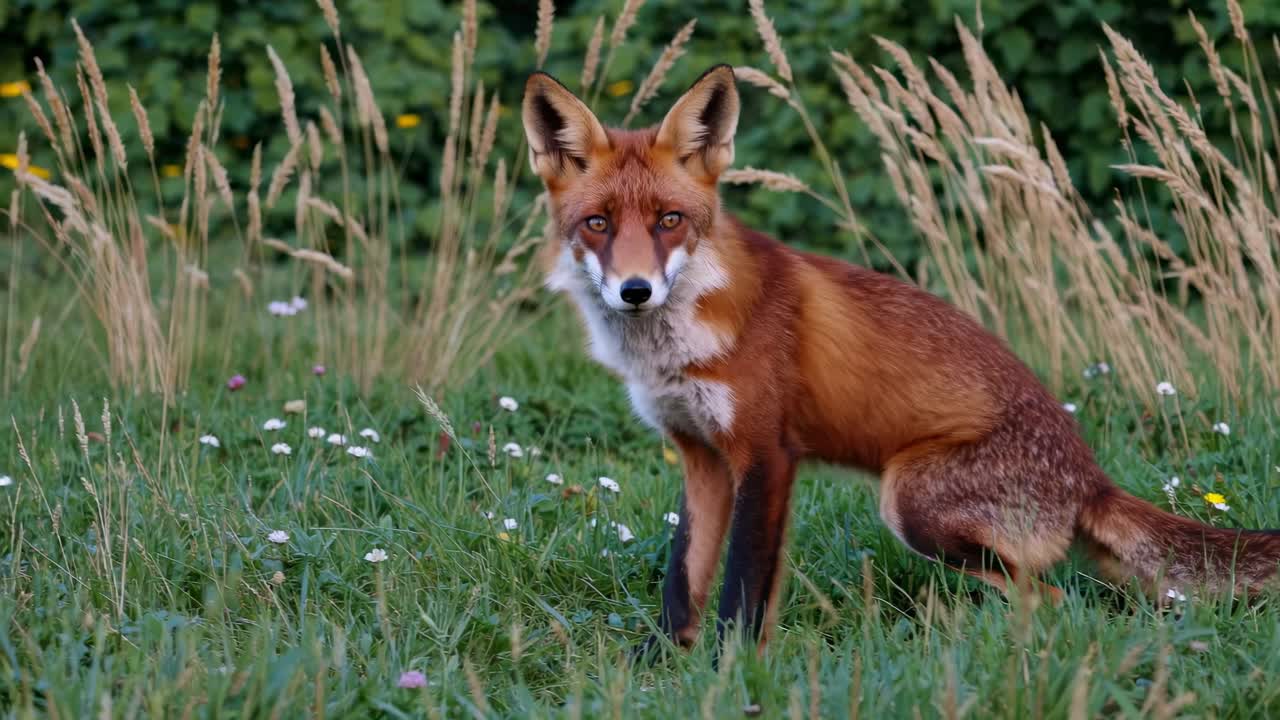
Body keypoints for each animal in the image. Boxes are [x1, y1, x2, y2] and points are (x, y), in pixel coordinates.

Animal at [521, 64, 1280, 653]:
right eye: (598, 224)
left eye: (670, 221)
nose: (635, 290)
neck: (677, 346)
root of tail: (1090, 477)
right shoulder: (701, 456)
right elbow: (684, 578)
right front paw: (659, 665)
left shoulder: (766, 454)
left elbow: (740, 587)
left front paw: (727, 672)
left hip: (910, 502)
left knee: (1055, 598)